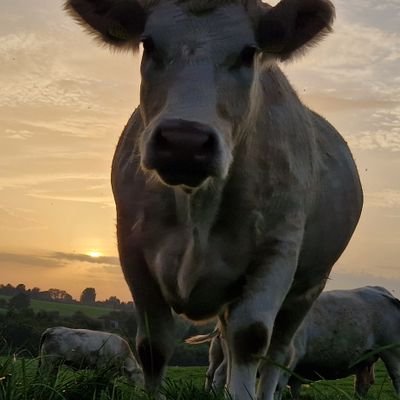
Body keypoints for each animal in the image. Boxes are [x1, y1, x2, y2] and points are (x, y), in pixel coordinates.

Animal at [65, 0, 362, 398]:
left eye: (249, 52)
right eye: (149, 44)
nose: (184, 142)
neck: (197, 205)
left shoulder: (278, 249)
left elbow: (251, 339)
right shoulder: (132, 250)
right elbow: (153, 346)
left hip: (307, 287)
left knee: (277, 352)